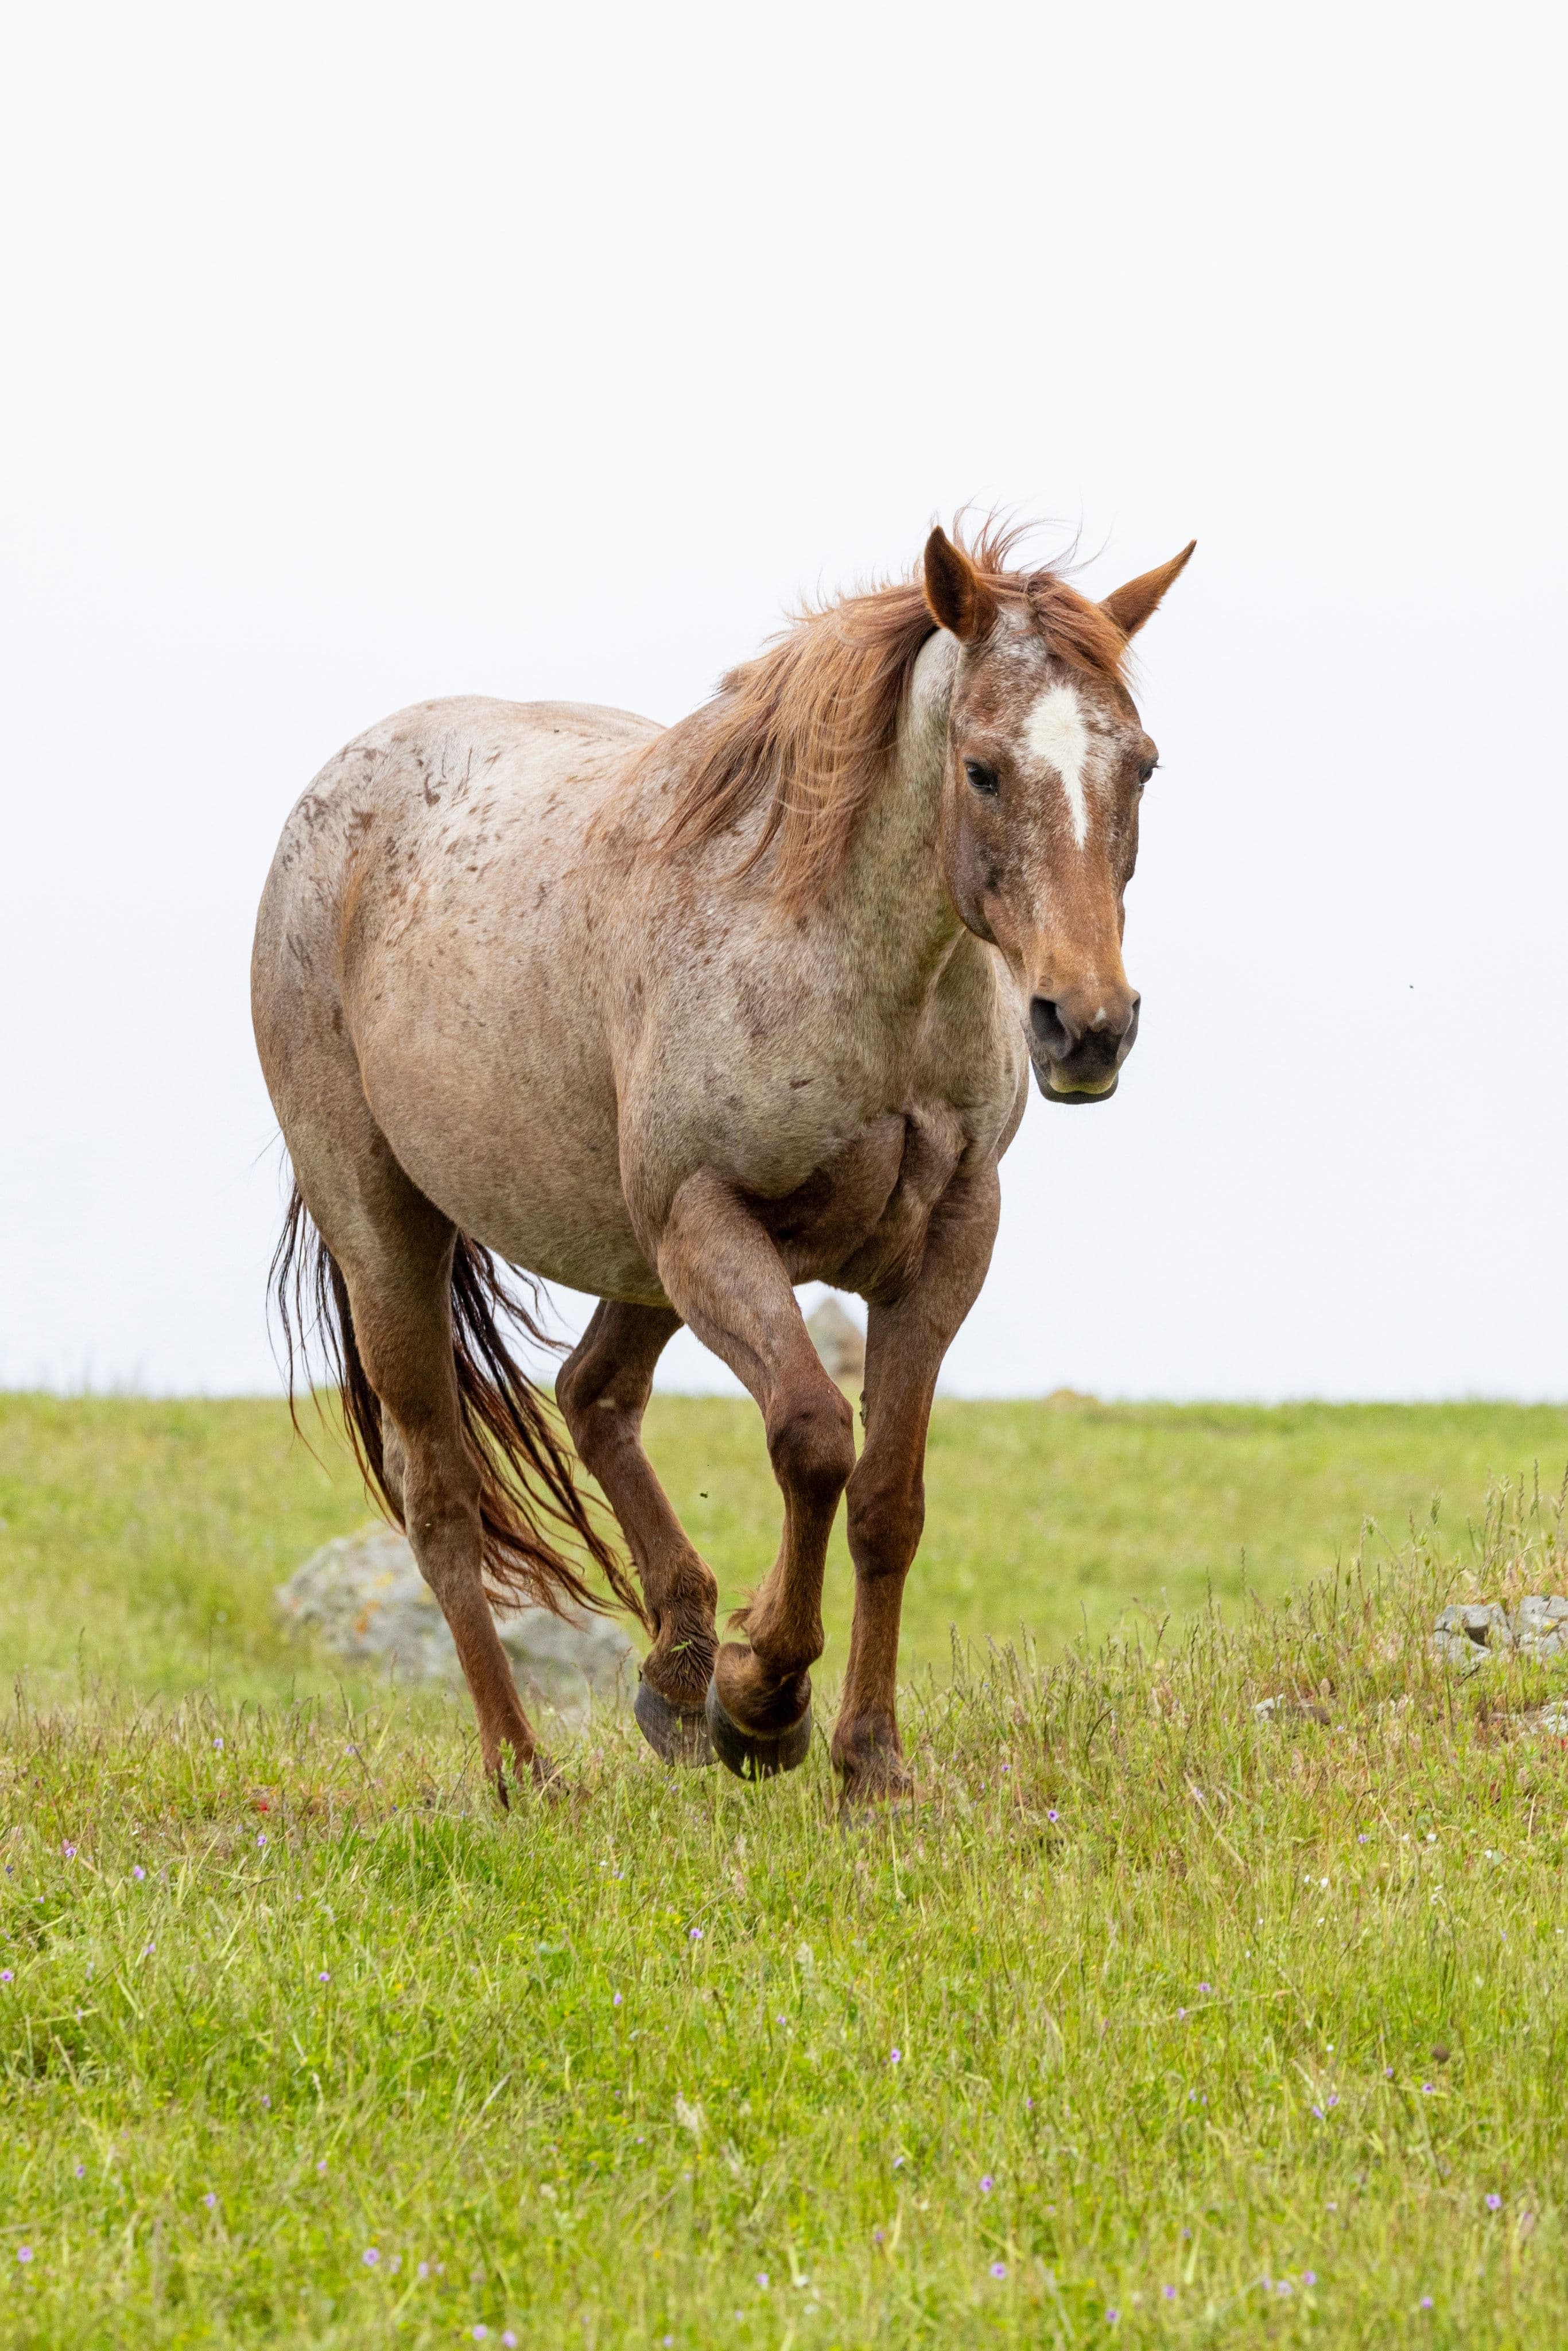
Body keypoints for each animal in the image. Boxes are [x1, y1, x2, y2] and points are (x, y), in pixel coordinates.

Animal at [253, 520, 1194, 1804]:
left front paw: (866, 1761)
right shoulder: (710, 1224)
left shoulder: (945, 1245)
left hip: (633, 1258)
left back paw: (675, 1671)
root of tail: (337, 797)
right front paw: (763, 1701)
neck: (847, 966)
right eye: (984, 769)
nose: (1086, 1025)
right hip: (394, 1233)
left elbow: (887, 1499)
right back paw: (527, 1773)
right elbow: (811, 1438)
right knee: (440, 1493)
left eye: (1139, 765)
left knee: (592, 1396)